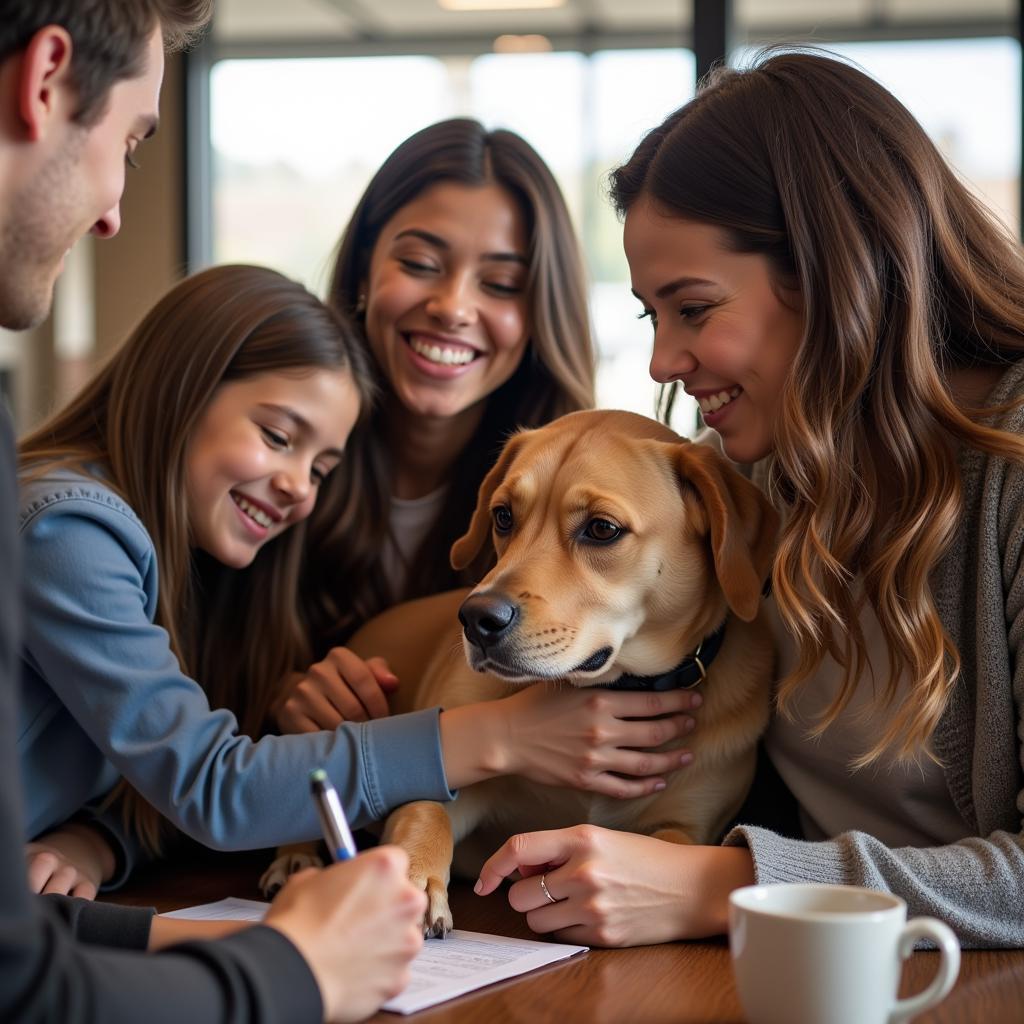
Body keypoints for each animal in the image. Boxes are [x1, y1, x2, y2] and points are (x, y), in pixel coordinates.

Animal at [262, 405, 774, 929]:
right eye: (503, 516)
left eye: (602, 529)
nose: (476, 619)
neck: (615, 687)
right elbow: (428, 812)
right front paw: (411, 880)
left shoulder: (688, 825)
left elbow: (665, 847)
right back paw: (296, 857)